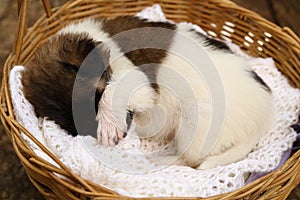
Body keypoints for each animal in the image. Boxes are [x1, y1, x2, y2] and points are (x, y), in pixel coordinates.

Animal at [21, 15, 274, 170]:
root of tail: (265, 115)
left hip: (196, 123)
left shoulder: (137, 82)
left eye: (96, 98)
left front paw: (108, 125)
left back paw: (159, 159)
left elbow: (114, 92)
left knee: (190, 159)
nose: (123, 136)